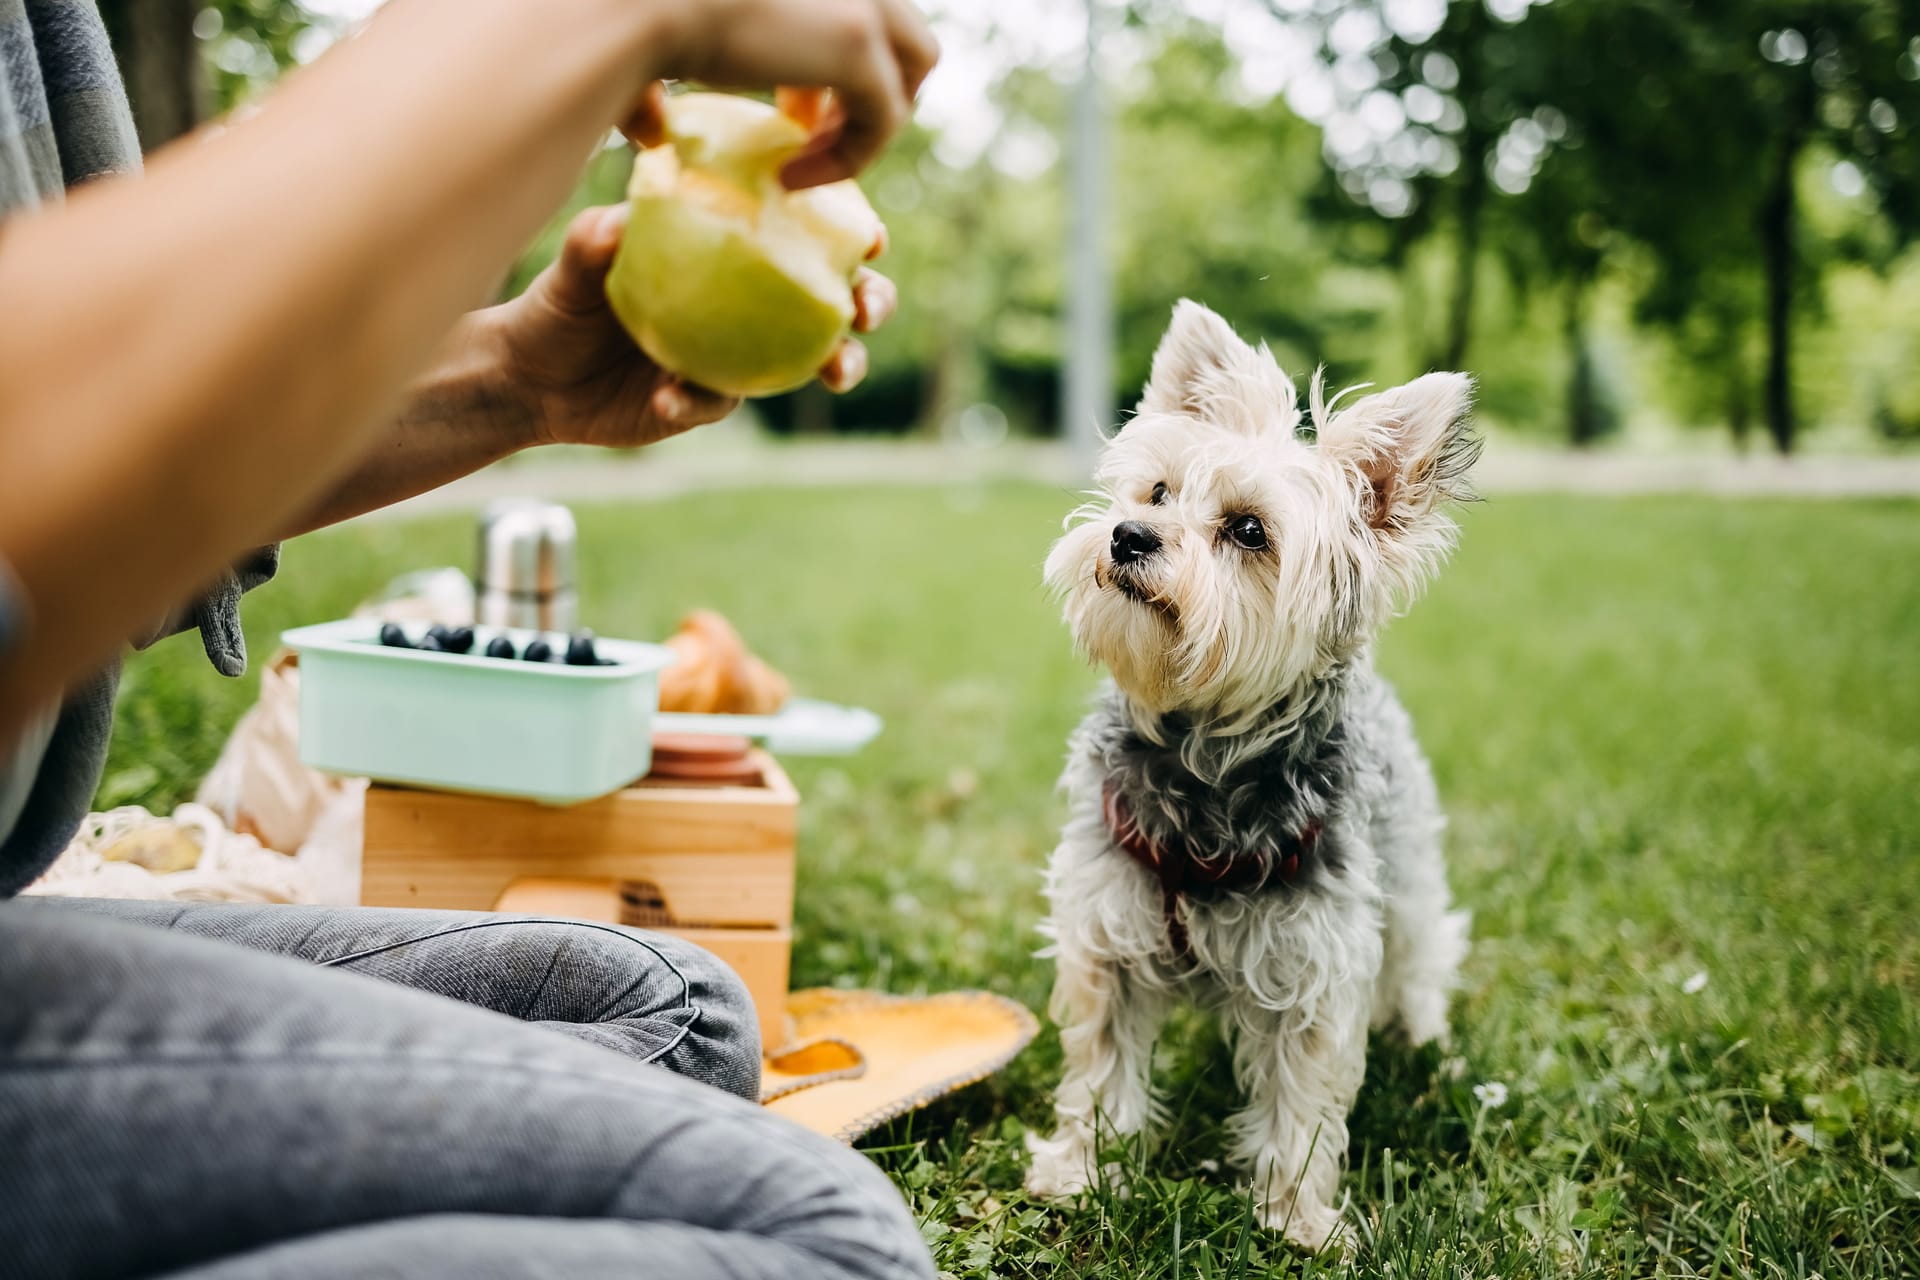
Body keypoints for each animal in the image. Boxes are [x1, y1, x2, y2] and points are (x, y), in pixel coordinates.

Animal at [1029, 301, 1474, 1251]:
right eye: (1158, 494)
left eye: (1247, 531)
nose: (1128, 534)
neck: (1202, 764)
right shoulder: (1109, 937)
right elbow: (1101, 1071)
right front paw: (1082, 1172)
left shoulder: (1315, 969)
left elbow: (1301, 1108)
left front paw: (1296, 1220)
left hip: (1410, 884)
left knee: (1421, 961)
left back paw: (1429, 1048)